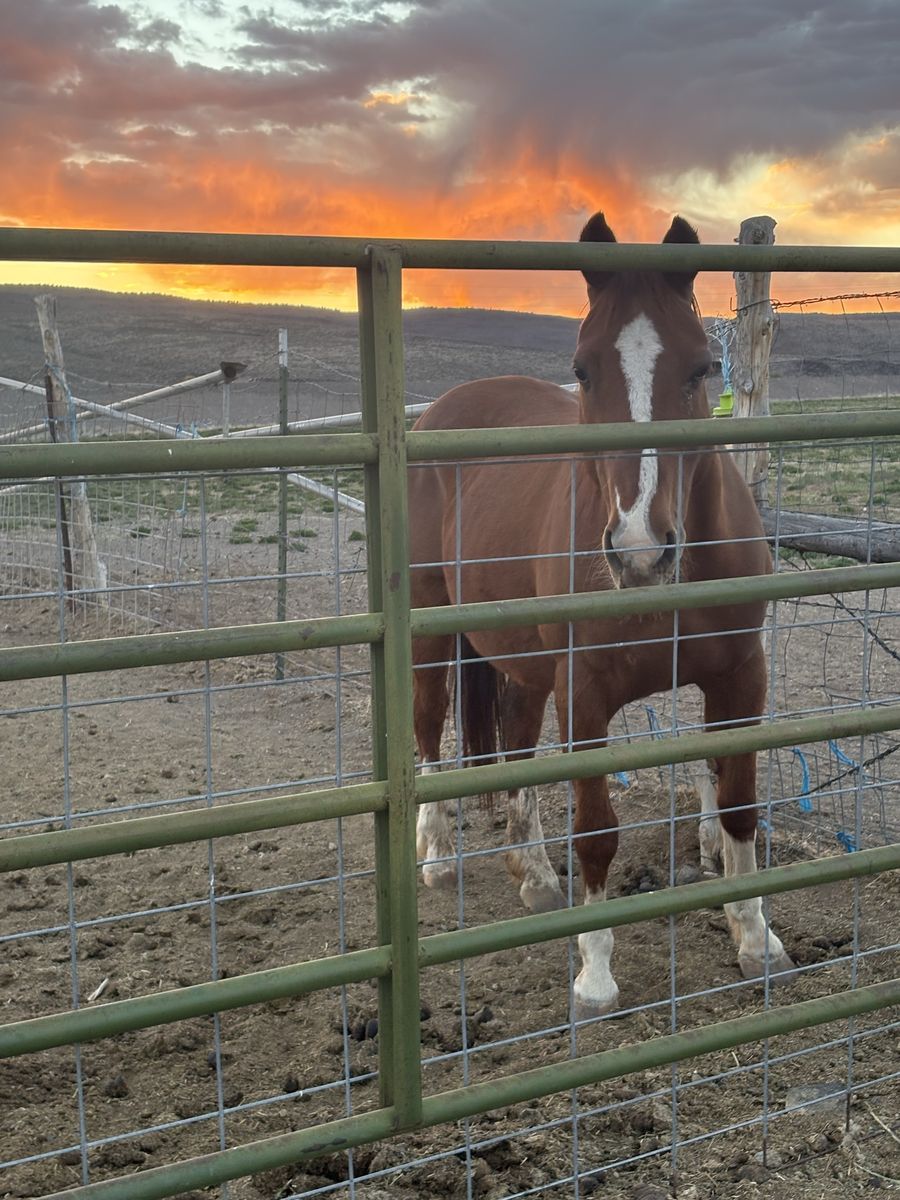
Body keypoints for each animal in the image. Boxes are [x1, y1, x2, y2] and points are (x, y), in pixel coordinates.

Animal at [408, 212, 795, 1018]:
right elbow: (595, 831)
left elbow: (738, 807)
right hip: (431, 624)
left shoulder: (742, 678)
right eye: (583, 369)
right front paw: (593, 973)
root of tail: (440, 412)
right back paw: (436, 857)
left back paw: (533, 877)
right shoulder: (583, 692)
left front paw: (756, 940)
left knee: (516, 746)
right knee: (429, 727)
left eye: (701, 367)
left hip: (522, 657)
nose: (641, 553)